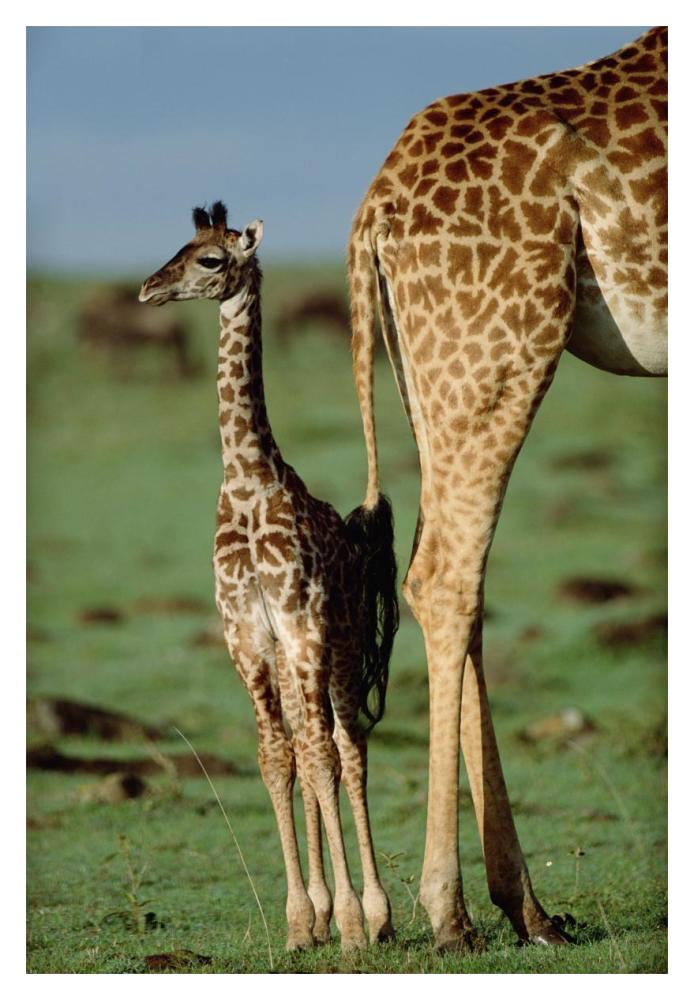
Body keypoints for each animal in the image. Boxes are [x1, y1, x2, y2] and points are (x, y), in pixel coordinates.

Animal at [139, 202, 398, 952]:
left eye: (210, 260)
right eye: (181, 246)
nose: (147, 290)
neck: (248, 482)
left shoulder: (302, 627)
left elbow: (320, 757)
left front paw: (349, 924)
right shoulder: (248, 638)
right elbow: (276, 760)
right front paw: (300, 922)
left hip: (340, 648)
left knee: (347, 746)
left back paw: (378, 915)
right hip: (292, 659)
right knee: (311, 752)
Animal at [349, 26, 667, 951]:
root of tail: (374, 208)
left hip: (432, 367)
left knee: (452, 574)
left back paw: (527, 907)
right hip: (501, 342)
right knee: (445, 574)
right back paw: (449, 911)